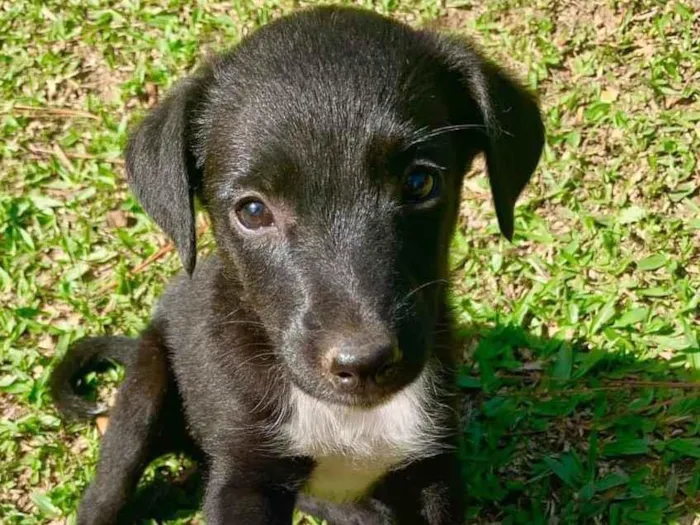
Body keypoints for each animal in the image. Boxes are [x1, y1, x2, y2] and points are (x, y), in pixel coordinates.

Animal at [52, 6, 544, 520]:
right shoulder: (244, 477)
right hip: (144, 390)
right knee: (107, 491)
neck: (345, 415)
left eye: (420, 183)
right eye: (252, 211)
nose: (363, 362)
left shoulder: (430, 468)